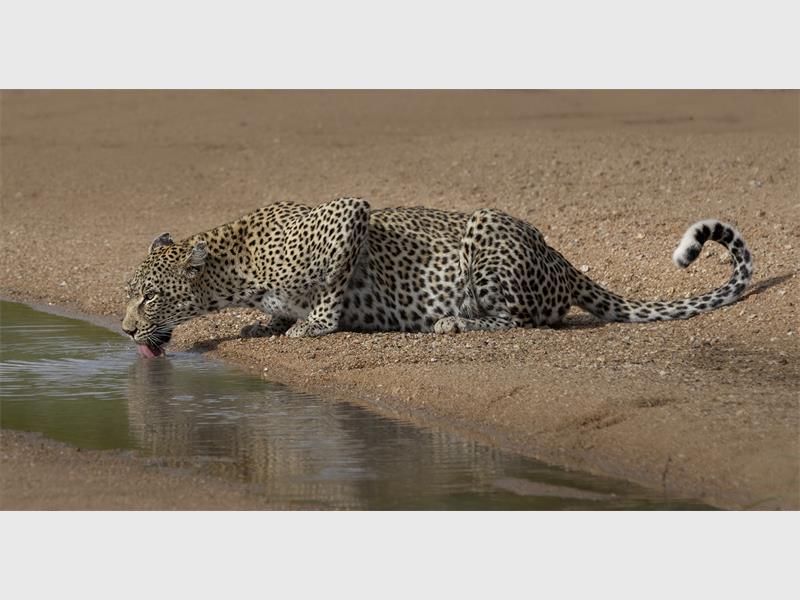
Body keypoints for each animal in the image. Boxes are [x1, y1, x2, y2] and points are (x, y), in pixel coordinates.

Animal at [122, 196, 753, 357]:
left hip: (486, 234)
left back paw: (454, 323)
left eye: (150, 298)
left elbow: (330, 292)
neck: (233, 269)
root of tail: (559, 257)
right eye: (129, 296)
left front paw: (310, 327)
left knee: (518, 321)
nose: (125, 332)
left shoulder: (349, 213)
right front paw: (265, 325)